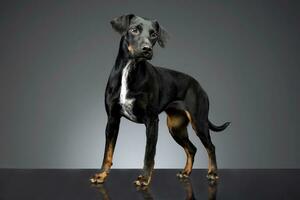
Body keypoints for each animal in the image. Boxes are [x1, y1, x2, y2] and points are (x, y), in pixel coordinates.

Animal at [90, 13, 231, 186]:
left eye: (153, 35)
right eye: (134, 30)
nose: (146, 49)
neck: (130, 69)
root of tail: (199, 85)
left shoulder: (151, 121)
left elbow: (149, 153)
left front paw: (144, 178)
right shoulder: (112, 119)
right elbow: (107, 153)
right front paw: (101, 175)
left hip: (199, 122)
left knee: (211, 147)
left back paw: (212, 173)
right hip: (175, 127)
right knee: (192, 149)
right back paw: (186, 172)